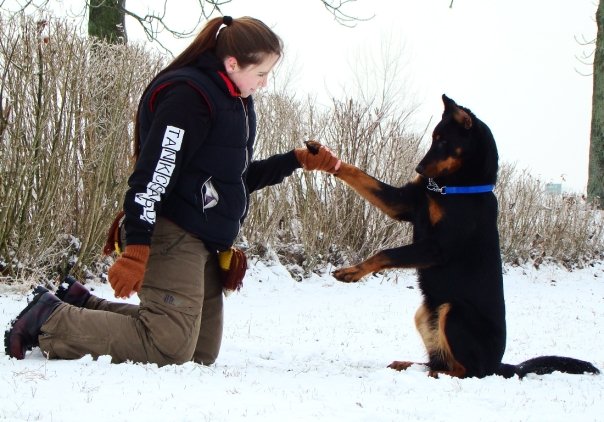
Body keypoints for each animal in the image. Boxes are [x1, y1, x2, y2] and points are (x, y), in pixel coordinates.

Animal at [330, 95, 600, 380]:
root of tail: (499, 366)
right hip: (425, 313)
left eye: (443, 141)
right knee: (441, 361)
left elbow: (386, 253)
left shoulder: (435, 248)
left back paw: (433, 374)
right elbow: (358, 175)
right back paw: (408, 365)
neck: (455, 188)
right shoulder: (401, 203)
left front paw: (351, 272)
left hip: (453, 311)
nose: (419, 168)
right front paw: (327, 158)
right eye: (433, 138)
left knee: (466, 371)